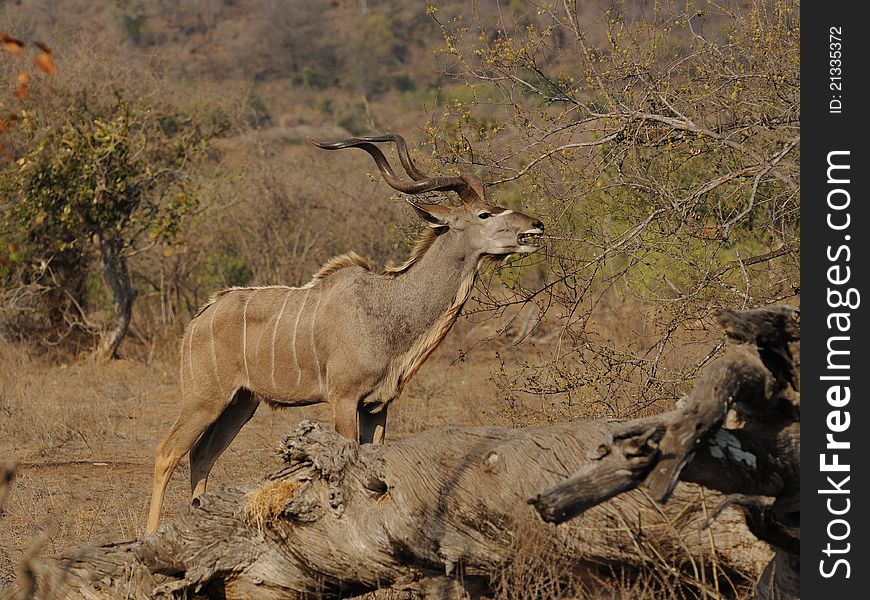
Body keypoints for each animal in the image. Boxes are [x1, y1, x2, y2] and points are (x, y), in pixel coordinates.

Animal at [148, 132, 544, 536]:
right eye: (485, 214)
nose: (536, 225)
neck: (387, 306)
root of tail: (198, 320)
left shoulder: (378, 405)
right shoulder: (344, 399)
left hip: (240, 404)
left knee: (201, 455)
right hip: (204, 399)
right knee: (168, 452)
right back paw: (149, 535)